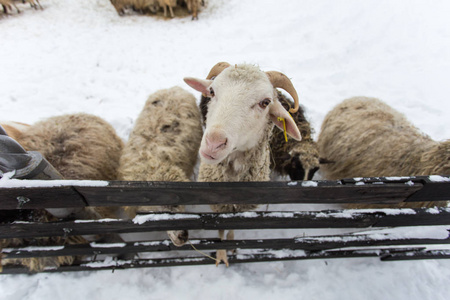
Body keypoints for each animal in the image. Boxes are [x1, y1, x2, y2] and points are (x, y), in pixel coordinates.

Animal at [185, 62, 304, 266]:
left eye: (265, 102)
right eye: (212, 91)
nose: (213, 143)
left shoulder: (240, 207)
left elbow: (232, 227)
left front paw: (232, 247)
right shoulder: (219, 206)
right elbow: (221, 230)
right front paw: (221, 255)